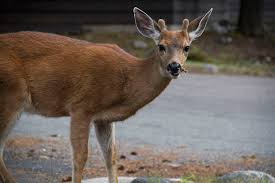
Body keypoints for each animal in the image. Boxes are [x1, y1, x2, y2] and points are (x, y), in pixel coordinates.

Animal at [0, 7, 213, 183]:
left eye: (187, 47)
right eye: (161, 46)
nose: (174, 67)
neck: (126, 81)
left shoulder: (103, 118)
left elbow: (111, 156)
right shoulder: (81, 107)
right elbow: (80, 156)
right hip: (11, 95)